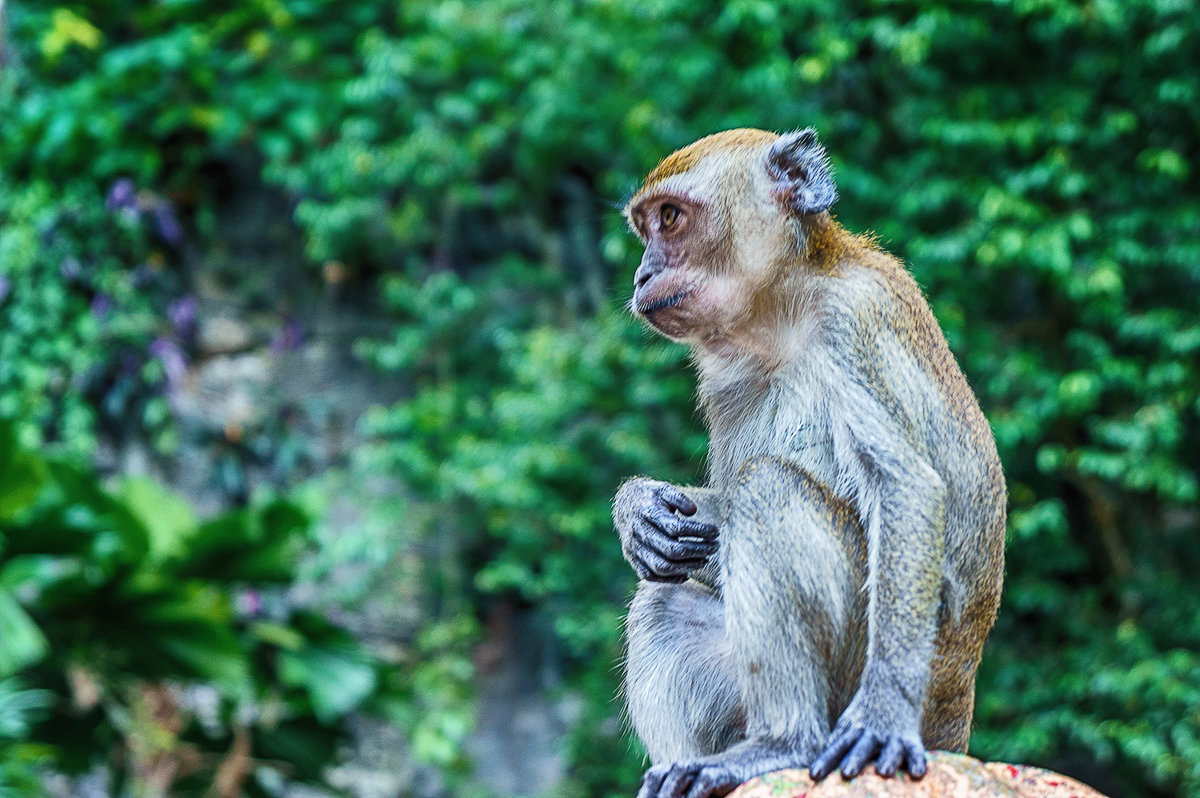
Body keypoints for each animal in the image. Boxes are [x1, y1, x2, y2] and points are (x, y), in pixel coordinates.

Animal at [614, 129, 1008, 796]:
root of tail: (957, 716)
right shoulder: (725, 378)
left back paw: (783, 742)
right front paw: (638, 509)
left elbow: (905, 486)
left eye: (670, 218)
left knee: (768, 490)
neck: (782, 312)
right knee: (662, 599)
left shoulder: (856, 320)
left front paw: (883, 713)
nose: (643, 273)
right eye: (646, 228)